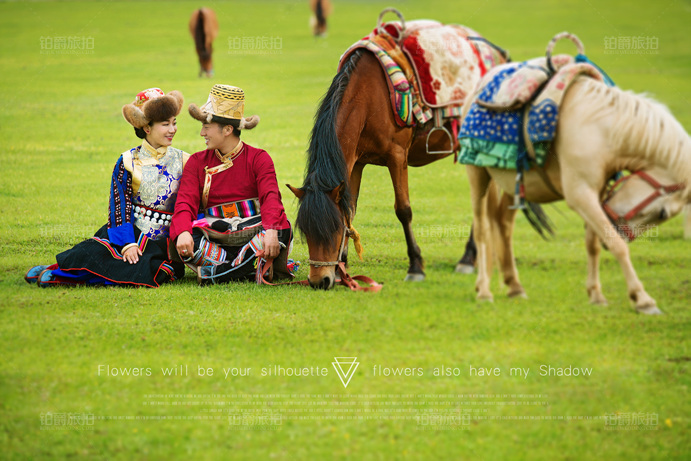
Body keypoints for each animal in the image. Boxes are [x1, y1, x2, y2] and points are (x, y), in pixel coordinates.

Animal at [286, 25, 508, 288]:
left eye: (332, 229)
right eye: (305, 232)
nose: (319, 281)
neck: (369, 96)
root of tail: (499, 55)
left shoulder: (397, 156)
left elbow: (403, 209)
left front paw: (416, 266)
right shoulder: (356, 162)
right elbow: (350, 209)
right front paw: (343, 270)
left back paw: (467, 258)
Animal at [468, 77, 688, 314]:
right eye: (663, 213)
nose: (622, 230)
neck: (603, 132)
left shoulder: (596, 192)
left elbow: (592, 244)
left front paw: (596, 295)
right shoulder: (580, 195)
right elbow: (616, 245)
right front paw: (643, 299)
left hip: (512, 185)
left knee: (504, 223)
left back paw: (515, 287)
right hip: (477, 174)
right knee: (482, 228)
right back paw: (484, 291)